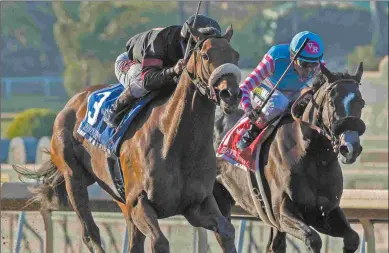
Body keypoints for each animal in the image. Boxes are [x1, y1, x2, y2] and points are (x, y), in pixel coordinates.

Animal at [15, 25, 242, 253]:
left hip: (117, 195)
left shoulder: (197, 204)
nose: (230, 94)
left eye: (235, 55)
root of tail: (72, 102)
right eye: (205, 55)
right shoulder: (138, 202)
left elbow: (227, 231)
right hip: (74, 177)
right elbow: (159, 241)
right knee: (90, 233)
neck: (177, 142)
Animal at [211, 63, 366, 253]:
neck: (315, 156)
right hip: (218, 198)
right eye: (332, 102)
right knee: (224, 233)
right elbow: (313, 239)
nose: (349, 148)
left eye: (361, 103)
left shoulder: (325, 212)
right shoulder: (282, 212)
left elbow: (352, 238)